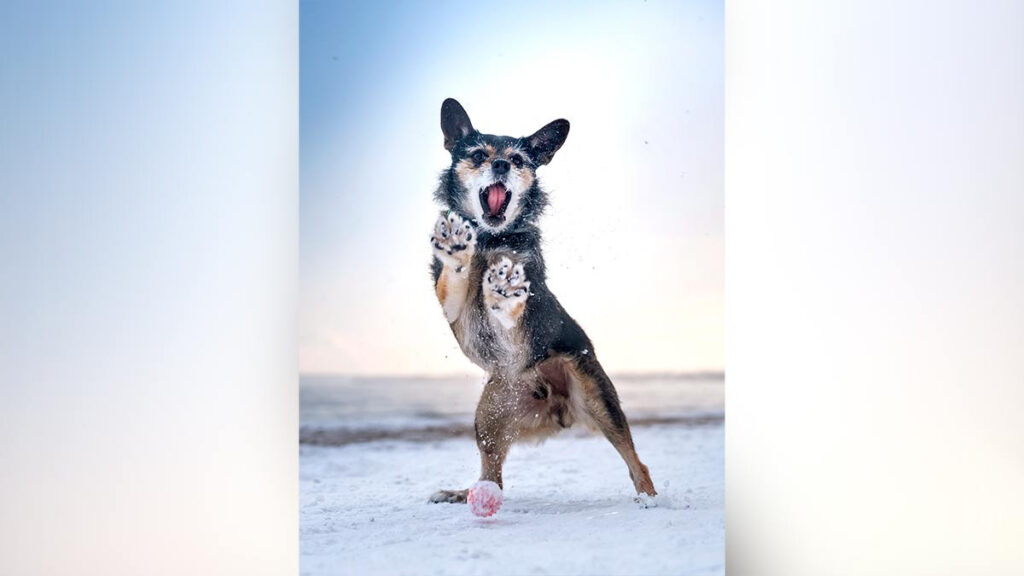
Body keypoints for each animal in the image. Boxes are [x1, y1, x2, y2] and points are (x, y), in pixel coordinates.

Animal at [425, 99, 655, 502]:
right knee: (493, 478)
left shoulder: (522, 318)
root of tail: (556, 404)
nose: (501, 164)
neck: (490, 239)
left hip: (597, 396)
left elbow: (511, 305)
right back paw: (463, 494)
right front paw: (456, 249)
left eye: (518, 160)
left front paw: (503, 288)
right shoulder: (453, 309)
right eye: (478, 155)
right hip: (488, 415)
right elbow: (451, 279)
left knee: (635, 461)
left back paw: (651, 500)